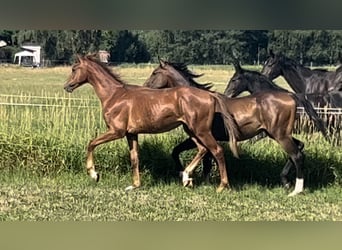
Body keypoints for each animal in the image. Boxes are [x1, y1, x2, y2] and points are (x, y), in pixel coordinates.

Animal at [65, 54, 240, 191]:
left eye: (74, 69)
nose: (67, 86)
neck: (114, 95)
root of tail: (211, 96)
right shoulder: (131, 134)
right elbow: (134, 158)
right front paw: (134, 185)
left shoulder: (116, 131)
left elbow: (91, 143)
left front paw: (94, 175)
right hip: (191, 131)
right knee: (203, 149)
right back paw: (186, 178)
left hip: (201, 131)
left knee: (217, 150)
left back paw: (221, 186)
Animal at [143, 59, 328, 196]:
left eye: (155, 73)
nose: (145, 88)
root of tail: (290, 95)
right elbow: (199, 158)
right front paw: (196, 179)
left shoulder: (200, 135)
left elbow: (189, 154)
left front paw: (189, 177)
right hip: (276, 134)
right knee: (300, 147)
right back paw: (286, 182)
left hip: (280, 135)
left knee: (297, 155)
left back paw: (296, 189)